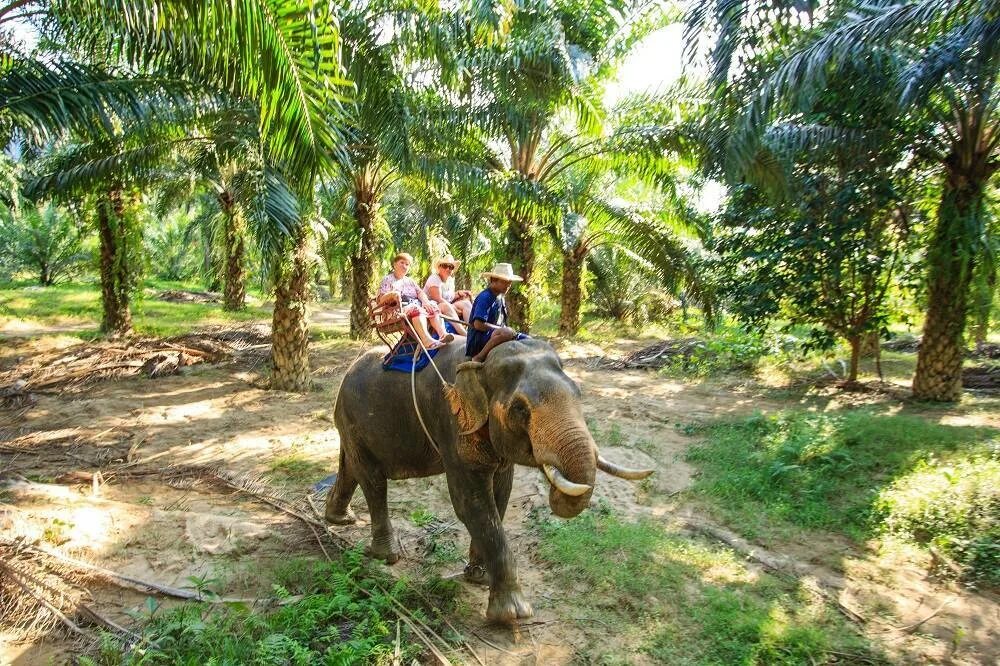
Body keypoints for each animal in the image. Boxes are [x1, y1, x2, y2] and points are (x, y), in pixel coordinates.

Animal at [326, 338, 656, 624]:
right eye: (520, 409)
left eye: (578, 393)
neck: (482, 360)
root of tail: (347, 371)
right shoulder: (451, 419)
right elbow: (470, 503)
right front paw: (512, 614)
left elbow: (501, 493)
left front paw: (478, 577)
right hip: (355, 419)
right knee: (373, 481)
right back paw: (386, 556)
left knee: (351, 467)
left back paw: (339, 518)